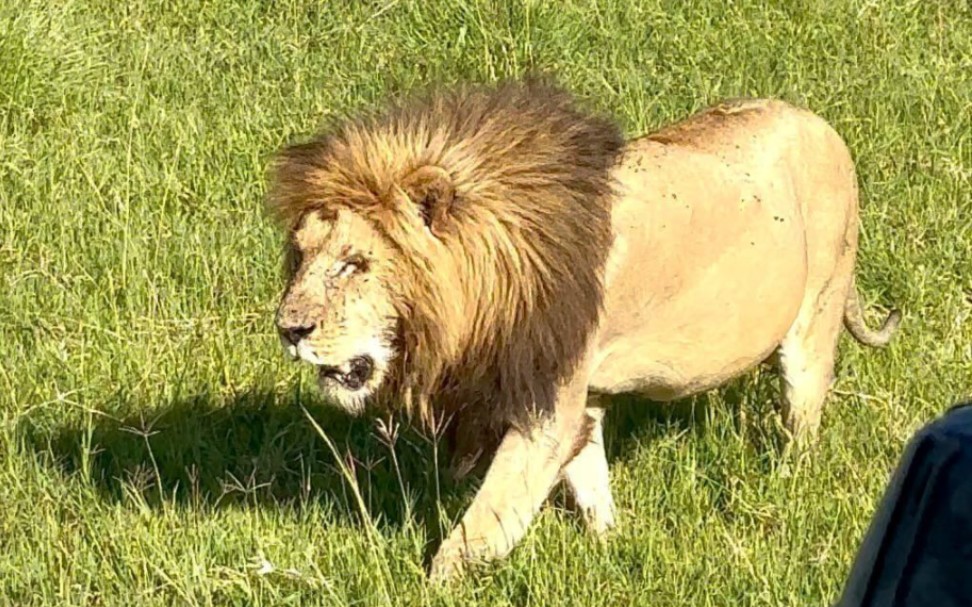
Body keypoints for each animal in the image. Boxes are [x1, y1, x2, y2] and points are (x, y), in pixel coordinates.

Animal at [264, 78, 896, 580]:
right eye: (300, 256)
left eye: (354, 264)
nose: (288, 329)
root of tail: (816, 120)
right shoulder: (578, 396)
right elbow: (589, 477)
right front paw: (610, 547)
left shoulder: (545, 410)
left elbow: (480, 527)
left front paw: (426, 587)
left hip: (817, 311)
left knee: (805, 414)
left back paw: (790, 481)